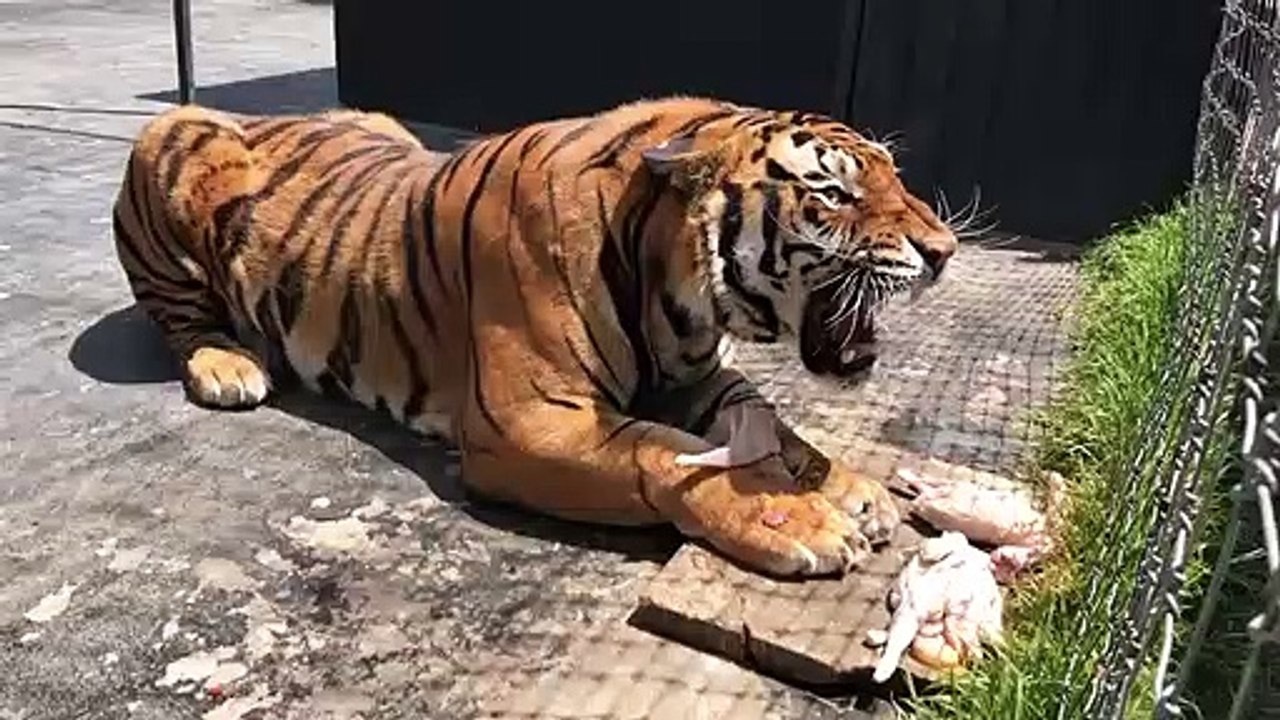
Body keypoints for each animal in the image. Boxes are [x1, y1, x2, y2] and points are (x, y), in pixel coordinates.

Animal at [110, 96, 957, 578]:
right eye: (833, 192)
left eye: (891, 174)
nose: (945, 251)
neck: (677, 289)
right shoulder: (526, 420)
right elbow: (664, 454)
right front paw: (803, 519)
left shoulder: (700, 377)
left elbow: (776, 430)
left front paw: (848, 488)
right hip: (170, 145)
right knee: (177, 317)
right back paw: (228, 364)